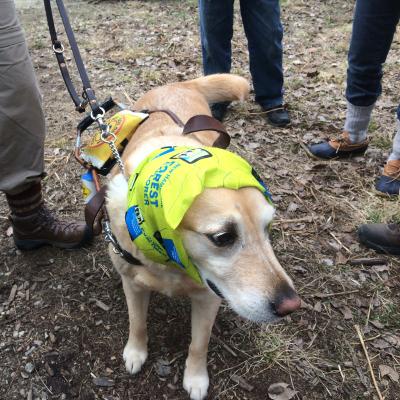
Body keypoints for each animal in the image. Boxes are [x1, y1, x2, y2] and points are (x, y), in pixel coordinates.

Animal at [106, 73, 300, 398]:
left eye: (267, 227)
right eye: (223, 237)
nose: (291, 306)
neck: (171, 261)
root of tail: (181, 83)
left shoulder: (209, 297)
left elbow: (199, 344)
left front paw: (196, 379)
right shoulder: (131, 283)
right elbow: (137, 323)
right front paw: (136, 352)